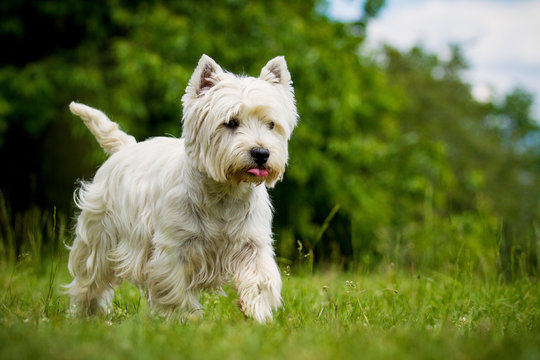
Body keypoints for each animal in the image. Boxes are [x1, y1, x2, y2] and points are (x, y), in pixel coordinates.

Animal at [66, 54, 300, 322]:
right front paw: (183, 320)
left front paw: (256, 314)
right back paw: (85, 315)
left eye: (271, 124)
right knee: (89, 279)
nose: (261, 153)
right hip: (100, 237)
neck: (225, 193)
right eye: (231, 122)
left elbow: (261, 279)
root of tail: (126, 147)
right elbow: (174, 288)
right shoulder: (174, 248)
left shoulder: (253, 243)